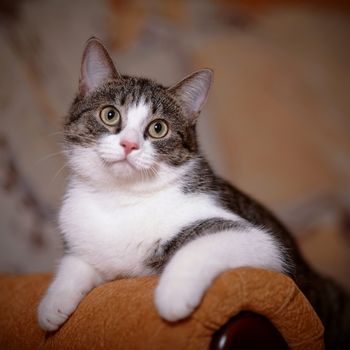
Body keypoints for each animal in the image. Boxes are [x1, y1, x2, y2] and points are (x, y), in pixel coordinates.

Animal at [38, 37, 350, 348]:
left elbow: (203, 245)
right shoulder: (85, 240)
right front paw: (52, 304)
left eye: (158, 128)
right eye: (109, 114)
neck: (120, 198)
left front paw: (172, 295)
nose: (129, 144)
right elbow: (75, 262)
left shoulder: (262, 242)